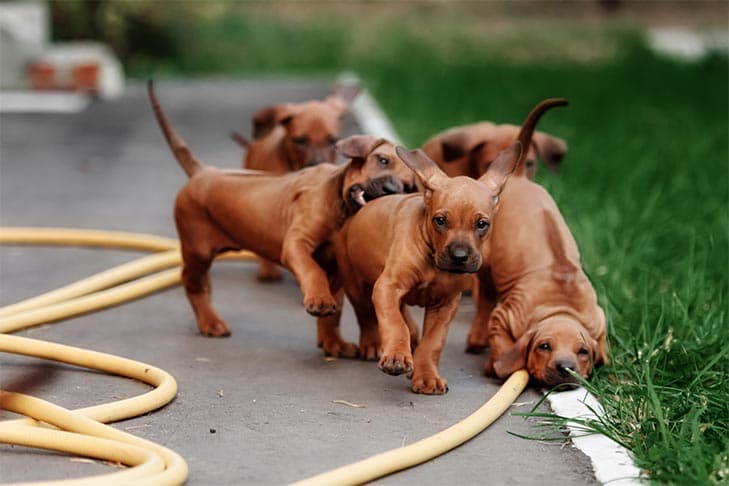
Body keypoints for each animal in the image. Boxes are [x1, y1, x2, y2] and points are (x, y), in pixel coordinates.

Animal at [466, 171, 608, 388]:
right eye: (545, 346)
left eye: (583, 351)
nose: (565, 367)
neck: (561, 308)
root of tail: (517, 177)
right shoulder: (504, 316)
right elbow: (503, 347)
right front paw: (496, 365)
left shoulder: (598, 319)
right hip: (484, 261)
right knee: (486, 296)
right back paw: (476, 339)